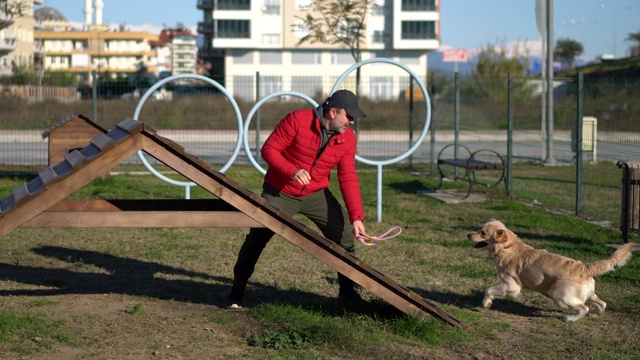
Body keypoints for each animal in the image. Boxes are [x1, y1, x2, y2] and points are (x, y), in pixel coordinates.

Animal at [468, 221, 632, 322]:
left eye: (482, 232)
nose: (468, 234)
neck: (507, 247)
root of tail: (584, 267)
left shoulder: (511, 285)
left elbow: (489, 290)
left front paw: (486, 303)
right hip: (589, 294)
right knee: (602, 304)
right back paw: (593, 314)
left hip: (559, 296)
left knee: (583, 308)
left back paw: (569, 319)